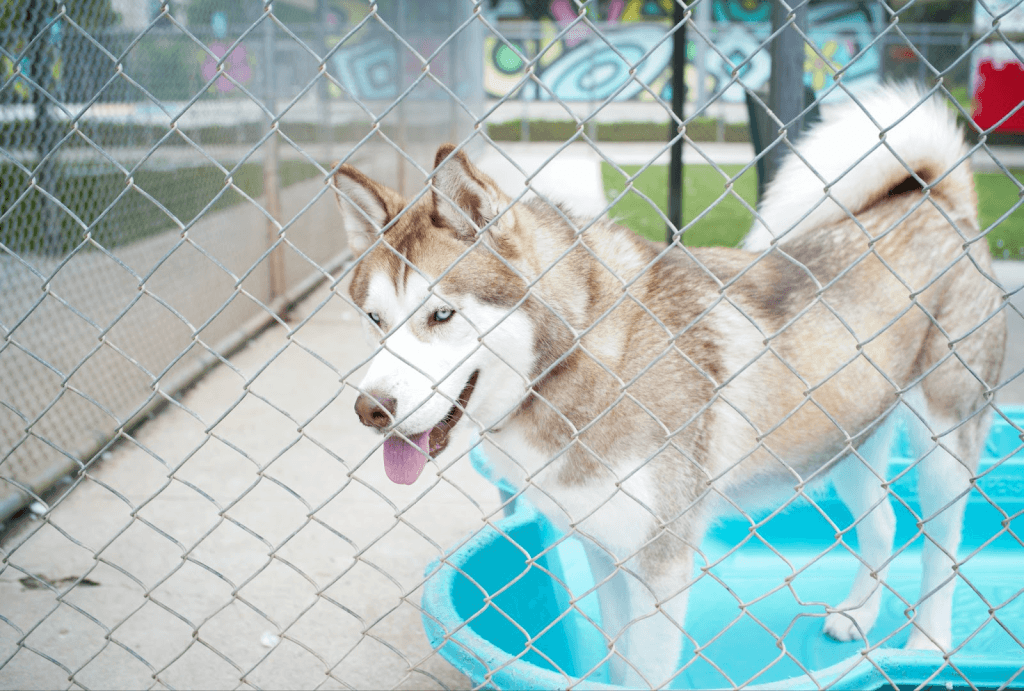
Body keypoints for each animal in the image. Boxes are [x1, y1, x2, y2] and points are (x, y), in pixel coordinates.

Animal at [337, 86, 1007, 687]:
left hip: (944, 443)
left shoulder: (662, 563)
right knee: (884, 524)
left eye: (441, 314)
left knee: (941, 548)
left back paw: (926, 648)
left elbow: (648, 668)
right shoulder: (604, 548)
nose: (370, 410)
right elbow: (618, 660)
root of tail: (938, 201)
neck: (578, 359)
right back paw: (859, 614)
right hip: (847, 438)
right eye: (374, 319)